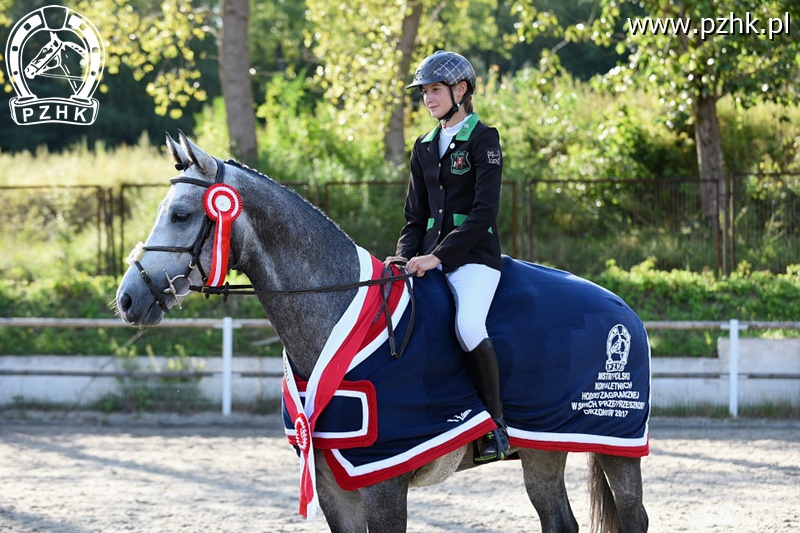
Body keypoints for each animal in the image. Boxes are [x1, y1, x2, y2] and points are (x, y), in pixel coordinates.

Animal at [115, 130, 648, 532]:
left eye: (181, 214)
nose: (127, 298)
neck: (335, 319)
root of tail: (625, 309)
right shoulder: (335, 485)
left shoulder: (384, 483)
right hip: (542, 447)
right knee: (559, 521)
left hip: (618, 445)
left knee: (633, 517)